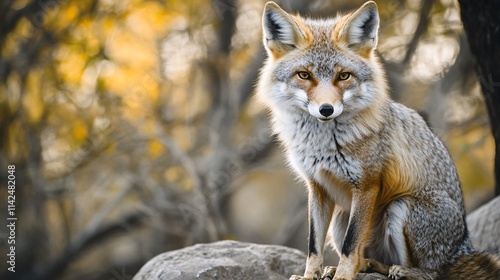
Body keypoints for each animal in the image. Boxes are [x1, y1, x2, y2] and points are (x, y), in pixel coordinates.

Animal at [258, 1, 500, 280]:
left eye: (344, 76)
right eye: (304, 75)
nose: (326, 110)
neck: (322, 144)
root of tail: (461, 248)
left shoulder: (367, 184)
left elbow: (351, 244)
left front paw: (343, 276)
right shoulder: (317, 187)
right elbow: (314, 245)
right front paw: (310, 276)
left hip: (399, 207)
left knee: (433, 272)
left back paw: (402, 270)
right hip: (341, 217)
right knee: (372, 258)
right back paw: (366, 264)